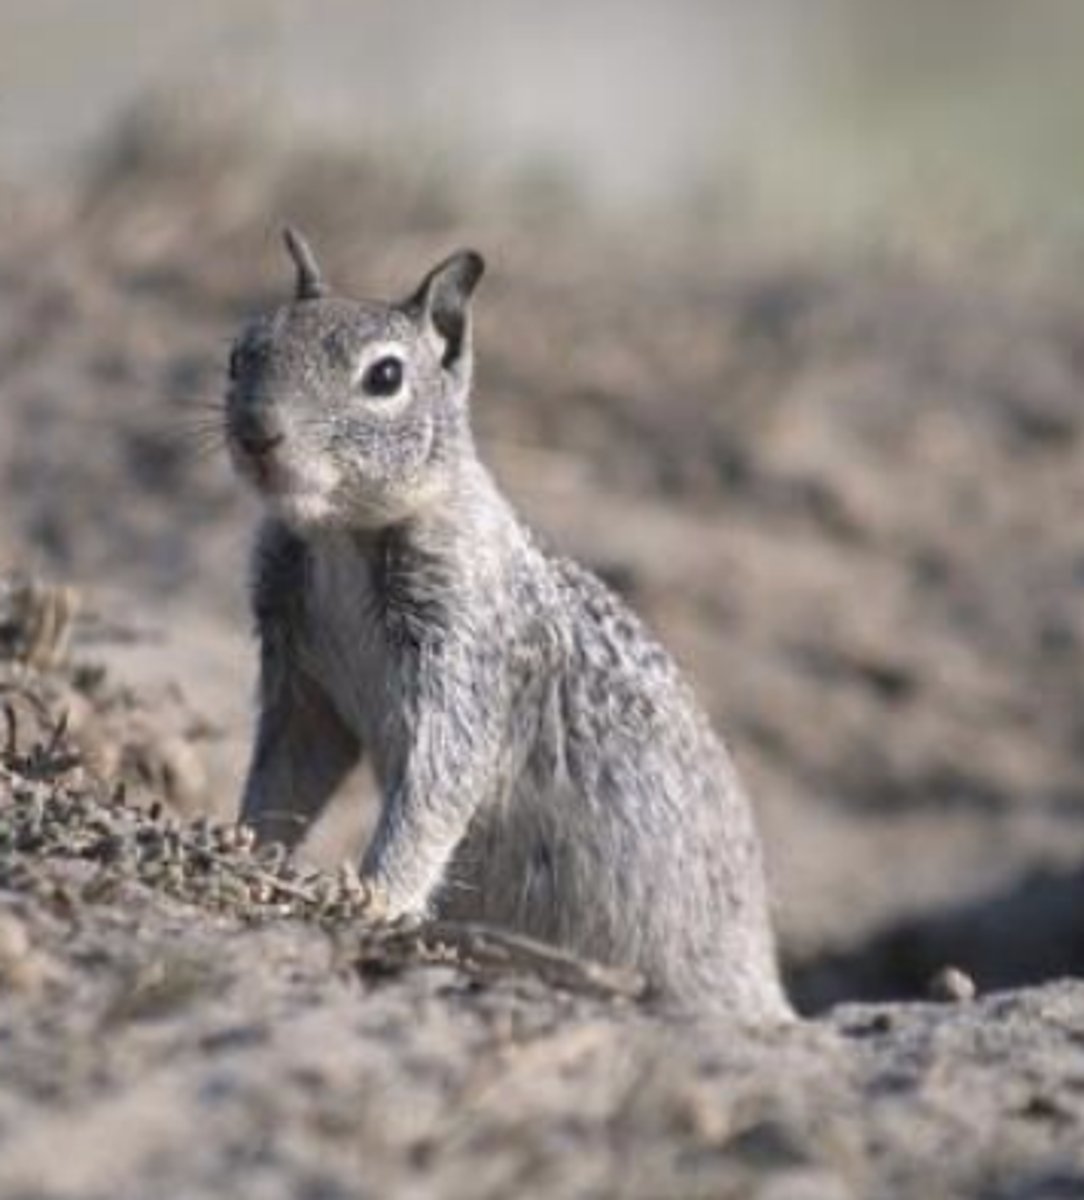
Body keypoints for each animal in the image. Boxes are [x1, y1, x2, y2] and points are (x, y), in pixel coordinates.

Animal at [225, 228, 791, 1020]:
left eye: (386, 376)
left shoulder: (463, 664)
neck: (342, 535)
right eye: (243, 350)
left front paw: (370, 900)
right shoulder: (303, 689)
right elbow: (281, 780)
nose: (256, 434)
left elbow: (434, 797)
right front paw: (242, 853)